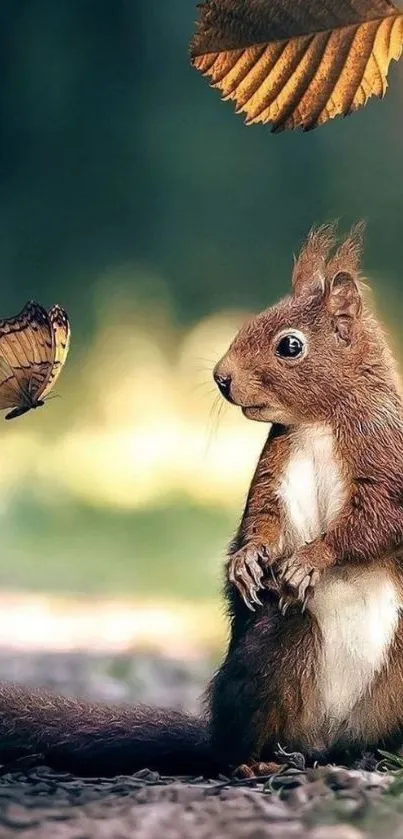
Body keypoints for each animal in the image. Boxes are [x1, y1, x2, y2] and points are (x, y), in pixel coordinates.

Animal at [0, 223, 403, 780]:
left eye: (290, 345)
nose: (221, 377)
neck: (319, 421)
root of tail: (328, 739)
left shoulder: (386, 459)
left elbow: (378, 521)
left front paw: (309, 559)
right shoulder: (274, 470)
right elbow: (263, 519)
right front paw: (247, 561)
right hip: (276, 648)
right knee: (237, 741)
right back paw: (256, 762)